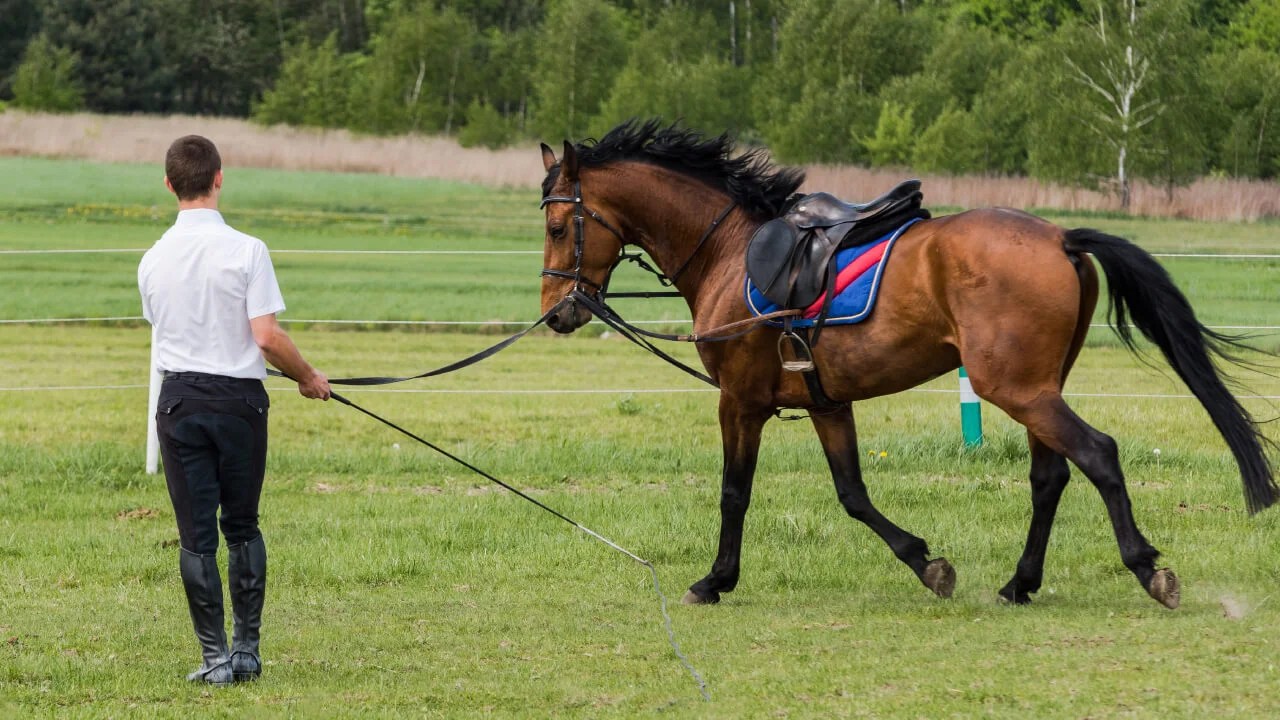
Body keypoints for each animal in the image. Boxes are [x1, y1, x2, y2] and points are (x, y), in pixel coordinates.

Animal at [535, 119, 1274, 604]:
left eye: (555, 225)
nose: (557, 313)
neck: (730, 249)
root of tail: (1060, 236)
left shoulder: (739, 403)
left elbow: (734, 492)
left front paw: (715, 580)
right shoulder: (828, 404)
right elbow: (854, 495)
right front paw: (926, 563)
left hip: (1018, 390)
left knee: (1098, 455)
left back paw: (1146, 567)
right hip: (1036, 389)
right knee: (1051, 477)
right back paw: (1019, 583)